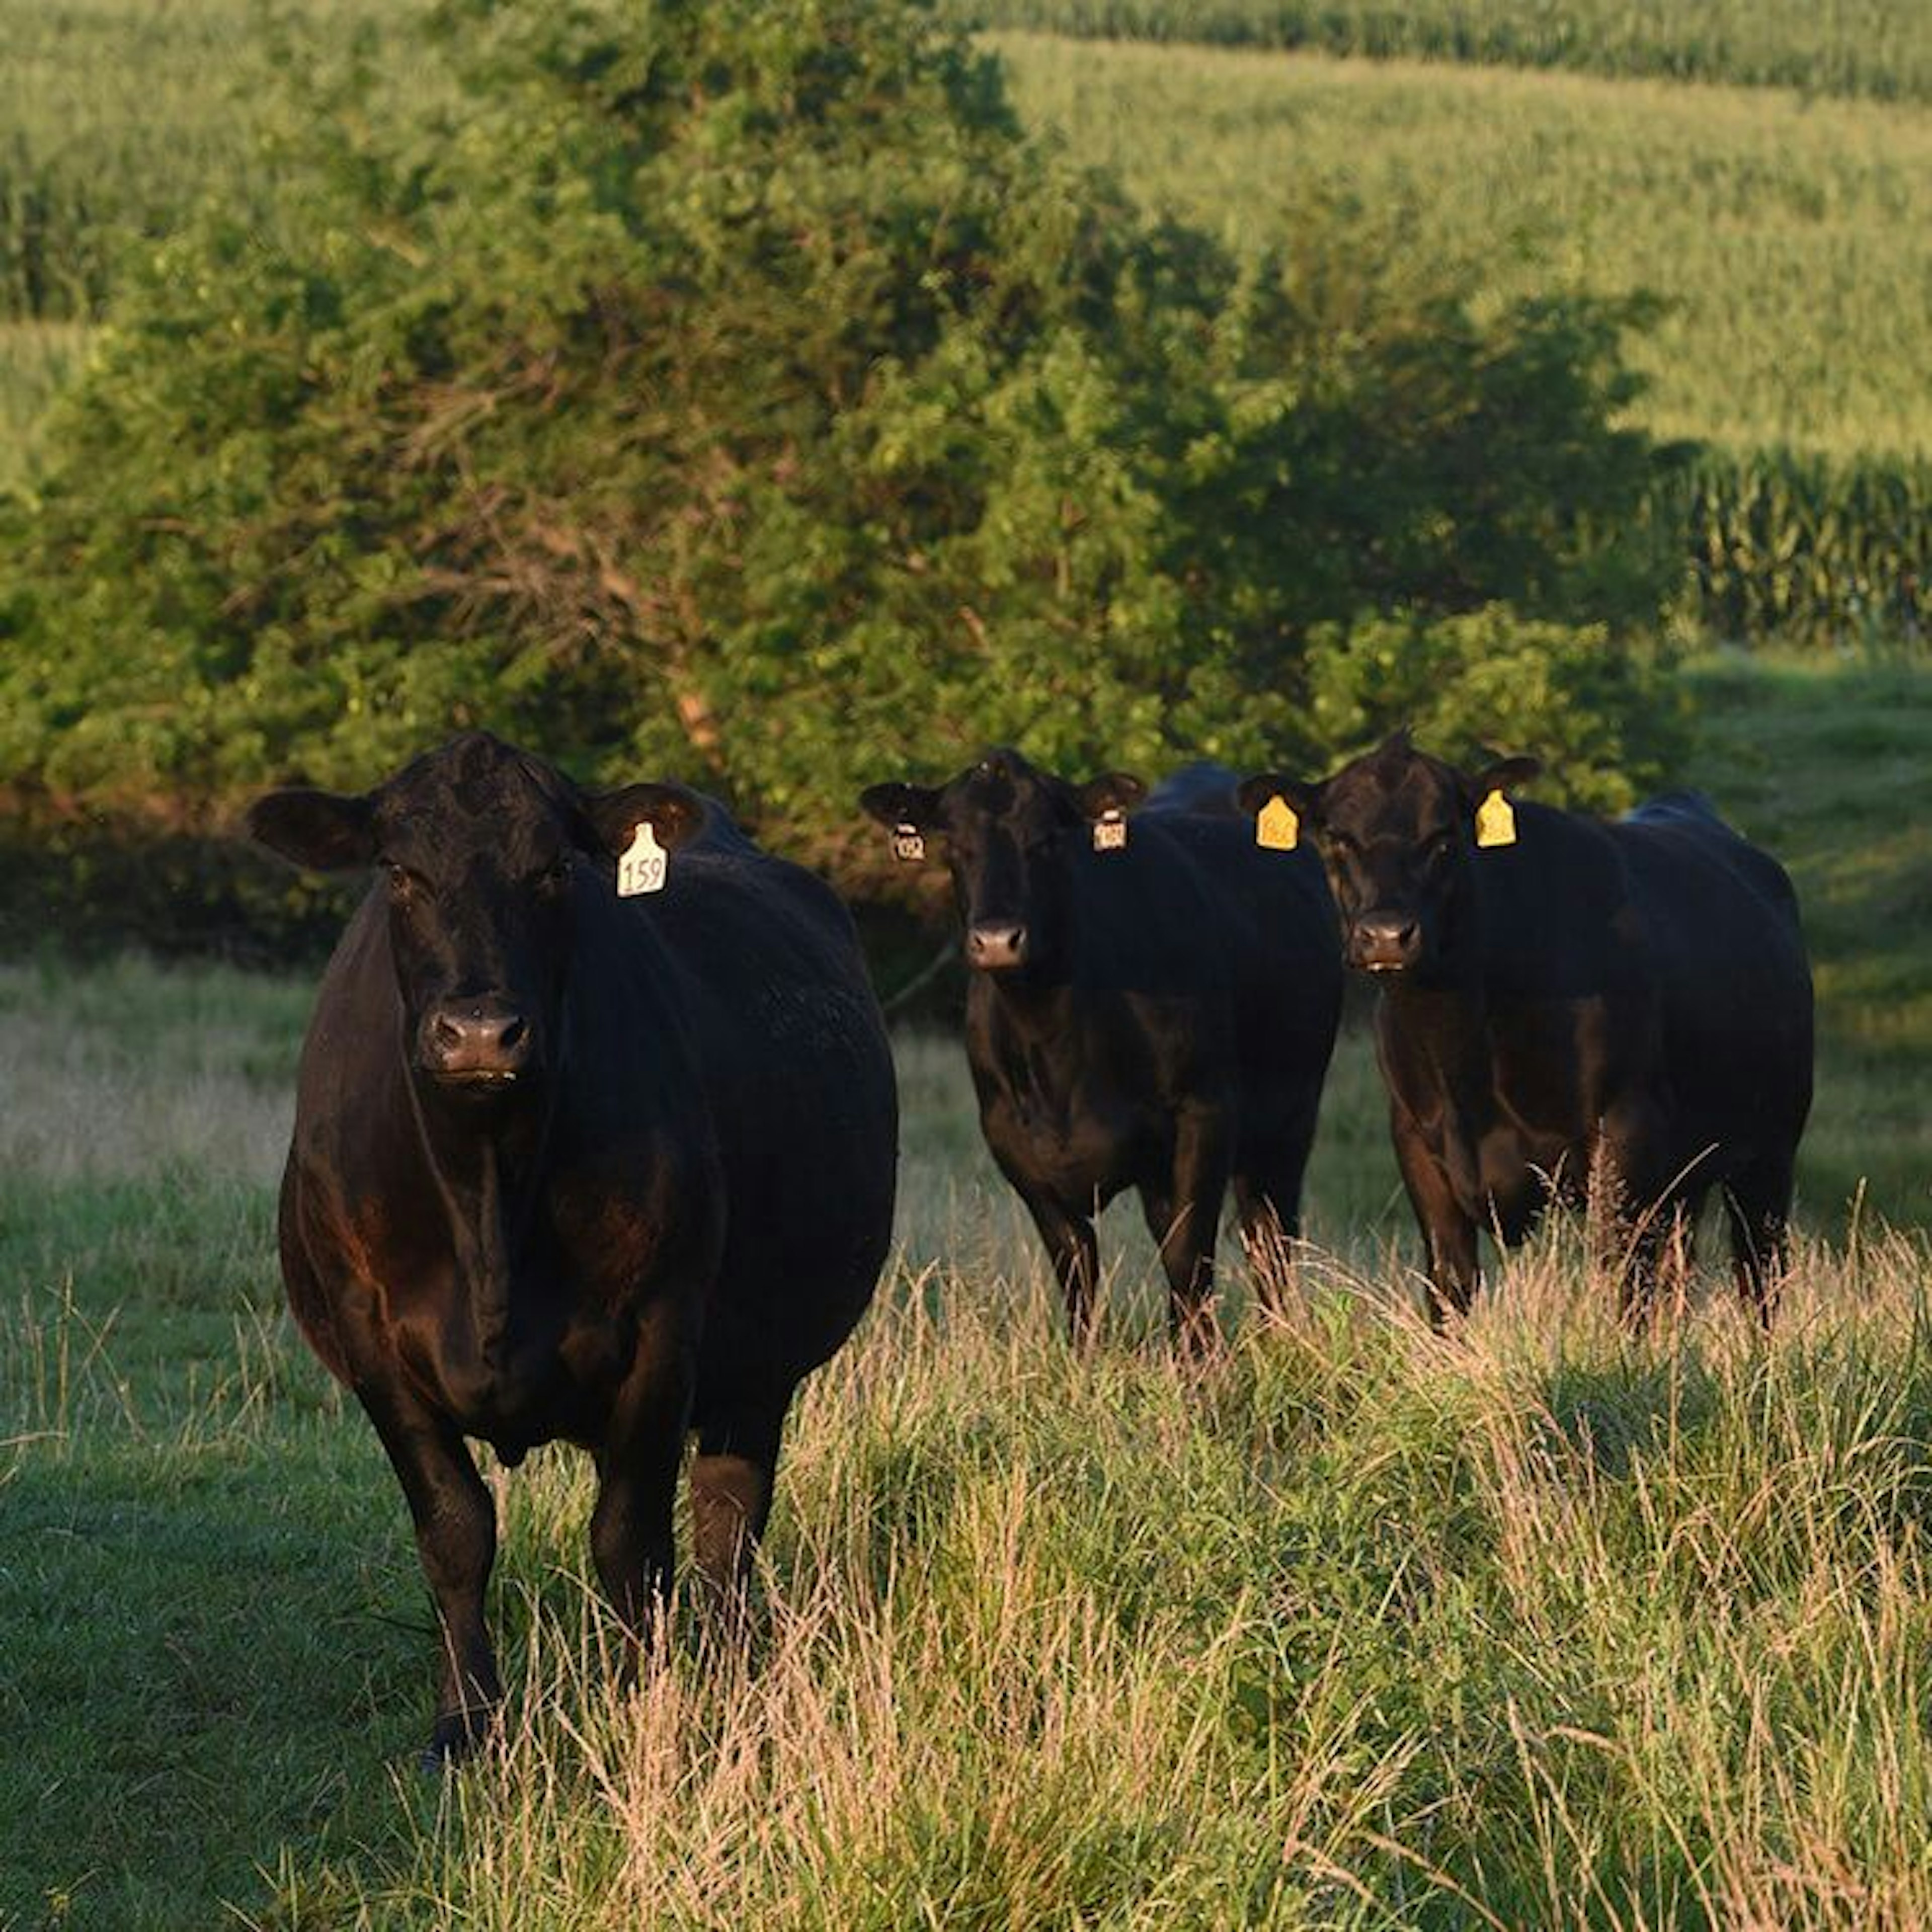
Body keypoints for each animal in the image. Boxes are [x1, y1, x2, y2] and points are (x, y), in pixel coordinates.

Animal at [247, 730, 896, 1762]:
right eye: (399, 871)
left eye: (554, 869)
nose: (480, 1033)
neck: (486, 1197)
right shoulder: (371, 1340)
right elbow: (455, 1529)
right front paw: (465, 1725)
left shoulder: (663, 1331)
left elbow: (630, 1540)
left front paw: (645, 1704)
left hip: (759, 1362)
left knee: (727, 1516)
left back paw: (728, 1674)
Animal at [865, 746, 1344, 1352]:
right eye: (952, 844)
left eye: (1047, 839)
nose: (997, 940)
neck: (1057, 1047)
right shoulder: (1012, 1141)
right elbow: (1077, 1267)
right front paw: (1084, 1361)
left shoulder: (1206, 1110)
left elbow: (1189, 1253)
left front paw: (1200, 1365)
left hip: (1289, 1118)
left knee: (1269, 1235)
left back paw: (1275, 1336)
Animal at [1236, 730, 1808, 1321]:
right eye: (1337, 840)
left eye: (1445, 838)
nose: (1387, 935)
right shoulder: (1418, 1144)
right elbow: (1450, 1287)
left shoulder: (1627, 1131)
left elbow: (1623, 1286)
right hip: (1688, 1178)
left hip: (1768, 1154)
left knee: (1758, 1277)